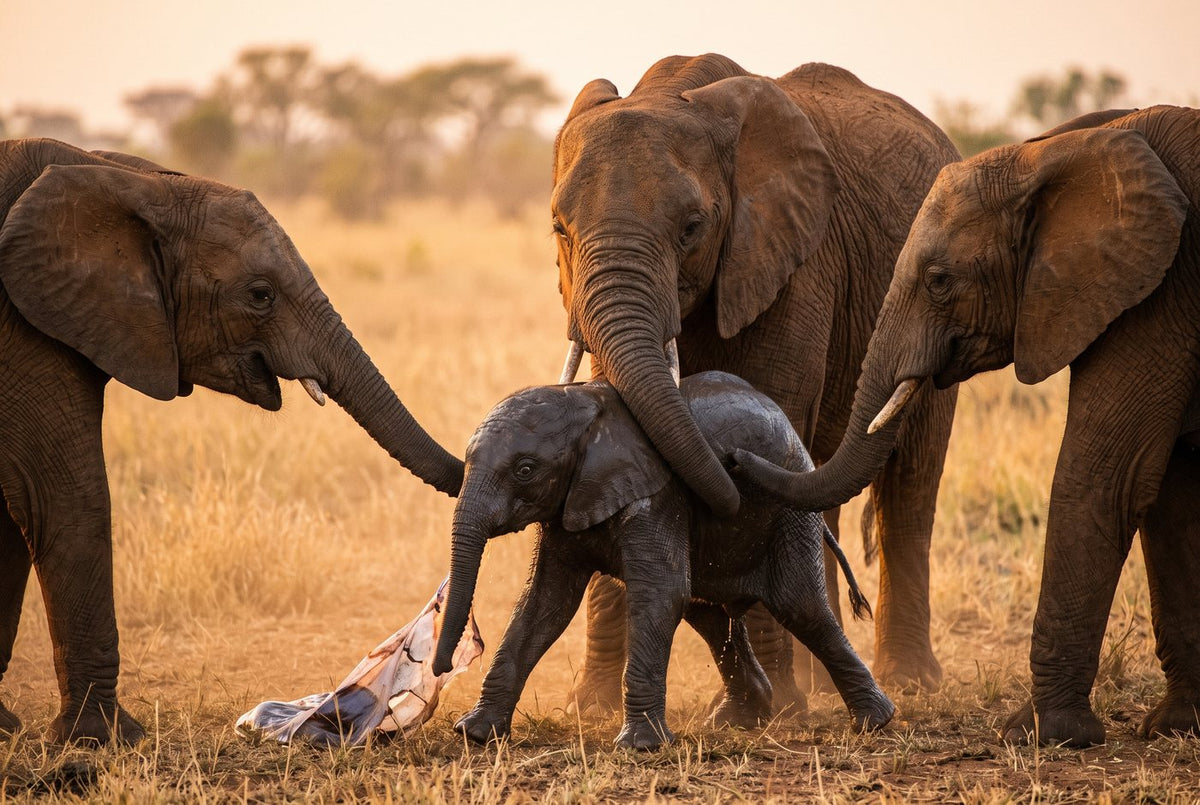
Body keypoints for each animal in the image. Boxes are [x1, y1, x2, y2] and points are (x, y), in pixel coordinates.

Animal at [0, 138, 465, 744]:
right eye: (260, 295)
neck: (124, 178)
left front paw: (15, 728)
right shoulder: (23, 327)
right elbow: (59, 494)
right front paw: (103, 738)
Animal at [432, 371, 894, 749]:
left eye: (525, 470)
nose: (442, 668)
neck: (586, 406)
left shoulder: (658, 494)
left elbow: (659, 594)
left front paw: (640, 746)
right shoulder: (567, 506)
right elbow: (544, 604)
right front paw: (474, 733)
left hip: (790, 513)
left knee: (800, 606)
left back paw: (876, 722)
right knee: (707, 613)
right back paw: (738, 720)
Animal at [549, 53, 960, 708]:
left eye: (692, 228)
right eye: (560, 228)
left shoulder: (795, 261)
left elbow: (774, 419)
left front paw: (781, 709)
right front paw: (589, 709)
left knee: (909, 483)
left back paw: (906, 680)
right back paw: (823, 683)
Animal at [732, 105, 1200, 747]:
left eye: (938, 280)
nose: (731, 457)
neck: (1060, 151)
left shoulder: (1160, 291)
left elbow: (1110, 474)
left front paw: (1043, 733)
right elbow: (1170, 497)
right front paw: (1176, 726)